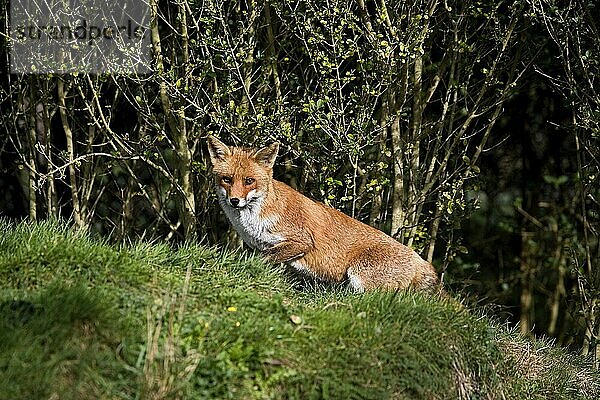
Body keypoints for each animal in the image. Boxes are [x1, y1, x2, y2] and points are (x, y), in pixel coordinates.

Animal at [209, 137, 438, 290]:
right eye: (227, 179)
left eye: (249, 181)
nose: (235, 200)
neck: (251, 221)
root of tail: (420, 260)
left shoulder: (301, 241)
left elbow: (259, 259)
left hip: (359, 275)